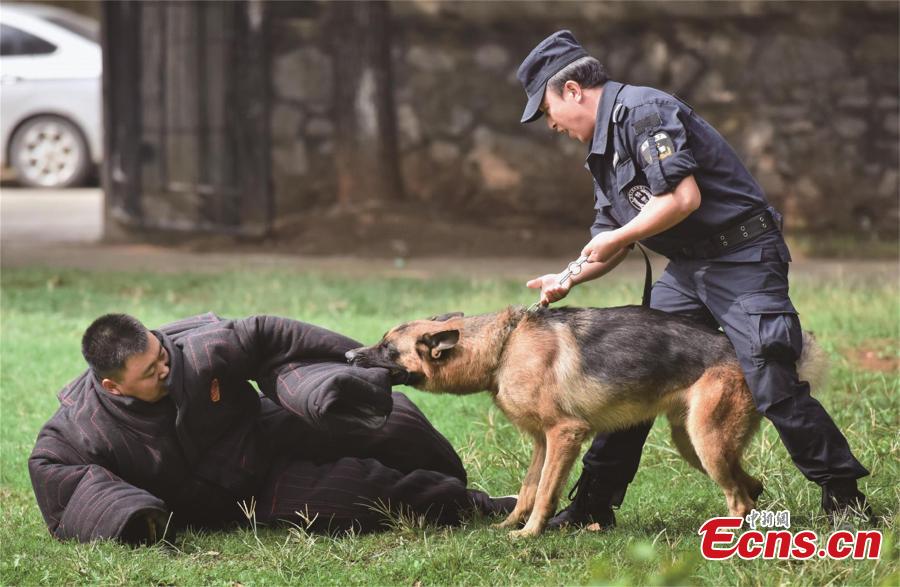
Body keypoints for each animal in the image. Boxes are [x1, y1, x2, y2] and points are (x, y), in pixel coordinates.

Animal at [346, 306, 828, 540]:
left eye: (387, 349)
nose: (349, 356)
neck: (503, 347)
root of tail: (748, 355)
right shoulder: (542, 443)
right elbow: (528, 489)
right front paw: (508, 526)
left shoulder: (565, 435)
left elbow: (544, 494)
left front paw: (530, 536)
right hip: (693, 443)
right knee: (751, 484)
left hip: (705, 443)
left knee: (739, 498)